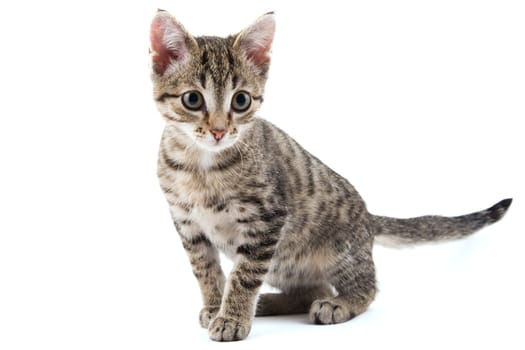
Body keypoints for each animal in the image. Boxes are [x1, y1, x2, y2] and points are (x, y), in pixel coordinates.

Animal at [148, 9, 512, 340]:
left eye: (241, 101)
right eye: (192, 99)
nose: (219, 131)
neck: (201, 166)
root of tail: (368, 218)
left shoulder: (267, 221)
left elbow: (244, 275)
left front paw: (232, 318)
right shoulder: (188, 225)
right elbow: (206, 270)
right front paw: (215, 306)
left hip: (334, 251)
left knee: (366, 287)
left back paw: (338, 303)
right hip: (283, 262)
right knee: (313, 288)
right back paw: (267, 303)